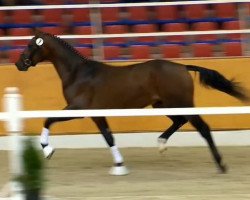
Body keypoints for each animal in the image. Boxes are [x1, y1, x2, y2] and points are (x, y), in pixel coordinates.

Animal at [15, 30, 248, 175]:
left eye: (30, 45)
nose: (19, 64)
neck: (78, 73)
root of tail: (182, 66)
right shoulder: (97, 114)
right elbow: (109, 137)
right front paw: (119, 165)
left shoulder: (78, 109)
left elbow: (48, 119)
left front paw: (47, 150)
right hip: (163, 104)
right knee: (179, 121)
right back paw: (161, 144)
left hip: (182, 103)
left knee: (203, 128)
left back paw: (221, 165)